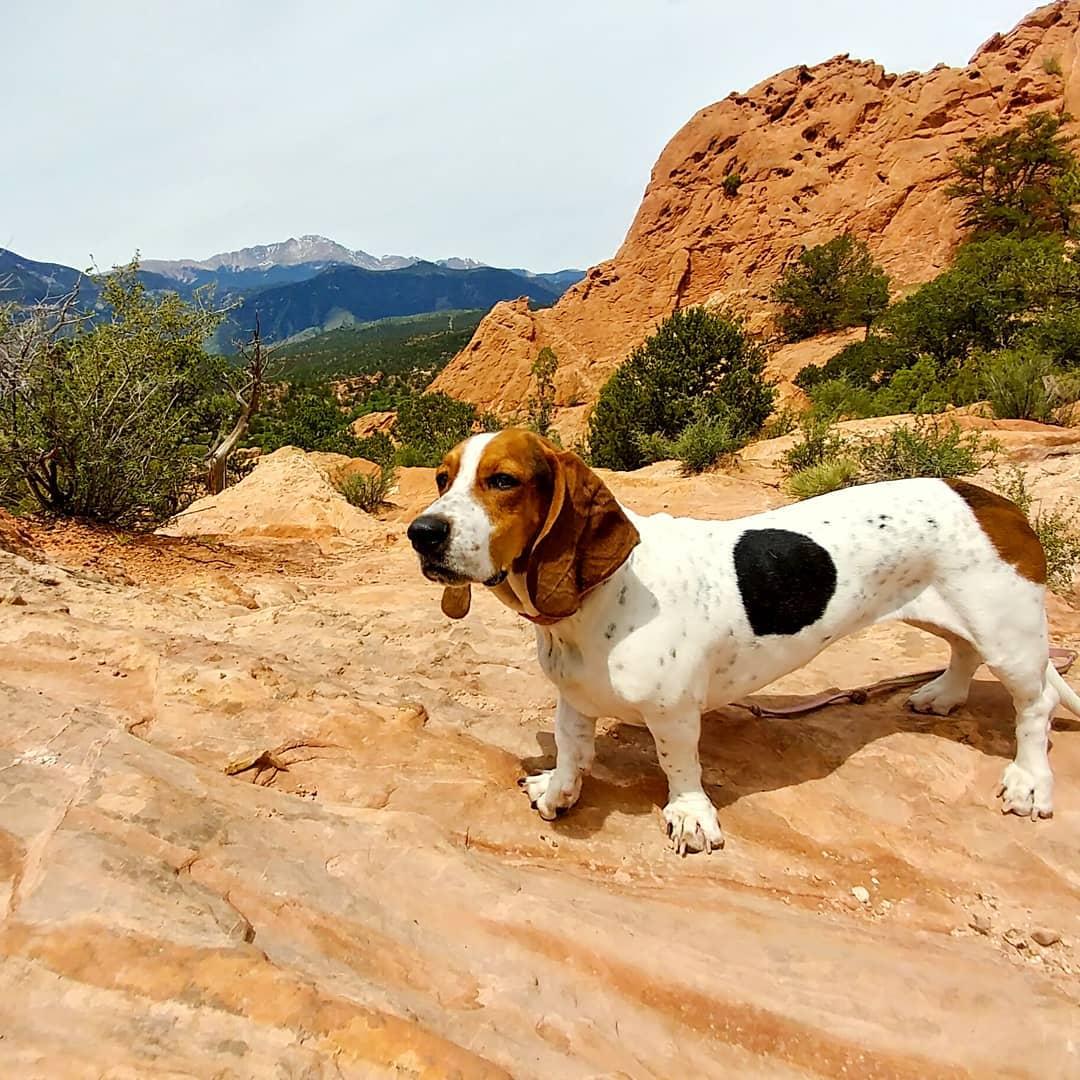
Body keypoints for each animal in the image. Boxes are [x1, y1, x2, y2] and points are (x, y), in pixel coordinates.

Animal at [406, 427, 1080, 851]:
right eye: (441, 478)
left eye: (503, 481)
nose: (422, 533)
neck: (598, 598)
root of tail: (997, 503)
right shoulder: (574, 696)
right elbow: (573, 749)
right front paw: (559, 788)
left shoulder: (674, 712)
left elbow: (678, 765)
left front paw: (689, 816)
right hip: (946, 613)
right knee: (963, 651)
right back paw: (943, 695)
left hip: (1007, 631)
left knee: (1036, 704)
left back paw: (1028, 781)